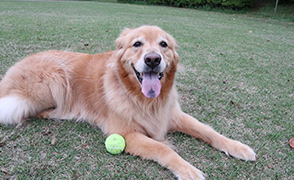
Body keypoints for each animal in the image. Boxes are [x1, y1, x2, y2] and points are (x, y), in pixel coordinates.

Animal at [0, 25, 255, 179]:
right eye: (137, 44)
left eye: (163, 44)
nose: (153, 59)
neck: (143, 99)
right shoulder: (125, 133)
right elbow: (163, 148)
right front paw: (188, 169)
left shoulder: (172, 115)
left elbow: (209, 131)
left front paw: (238, 147)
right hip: (53, 80)